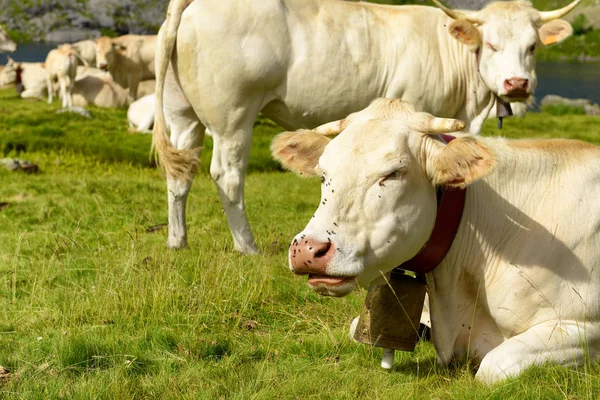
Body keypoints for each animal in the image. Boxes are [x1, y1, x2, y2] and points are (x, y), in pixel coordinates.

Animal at [152, 0, 580, 255]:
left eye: (532, 47)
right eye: (490, 45)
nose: (517, 84)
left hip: (183, 113)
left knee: (180, 173)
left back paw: (177, 241)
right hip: (233, 114)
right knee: (227, 175)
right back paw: (247, 246)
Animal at [270, 97, 600, 384]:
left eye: (395, 172)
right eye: (323, 174)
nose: (308, 250)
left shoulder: (586, 326)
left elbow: (493, 367)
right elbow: (356, 327)